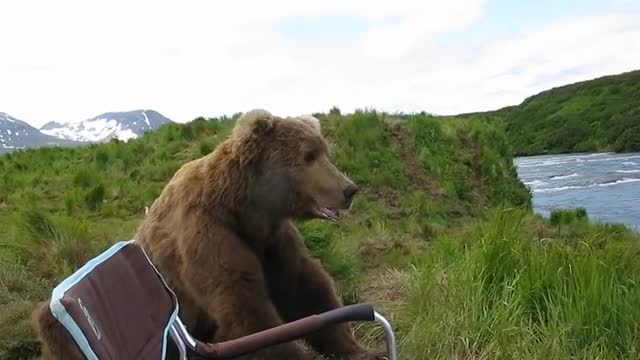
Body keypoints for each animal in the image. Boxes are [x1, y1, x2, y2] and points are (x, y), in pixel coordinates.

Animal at [31, 109, 384, 360]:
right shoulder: (207, 234)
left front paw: (359, 350)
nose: (349, 189)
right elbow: (246, 310)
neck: (244, 208)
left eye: (325, 152)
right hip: (58, 329)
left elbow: (305, 289)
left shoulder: (271, 240)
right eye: (308, 156)